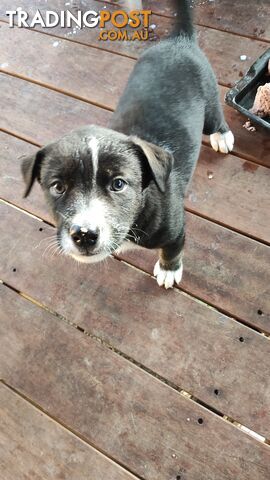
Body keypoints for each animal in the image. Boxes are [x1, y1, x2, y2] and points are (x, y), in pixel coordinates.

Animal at [21, 0, 233, 288]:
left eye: (118, 184)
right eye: (58, 187)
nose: (84, 235)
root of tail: (179, 40)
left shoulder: (176, 229)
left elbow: (173, 249)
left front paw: (169, 270)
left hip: (209, 102)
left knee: (216, 118)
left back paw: (223, 136)